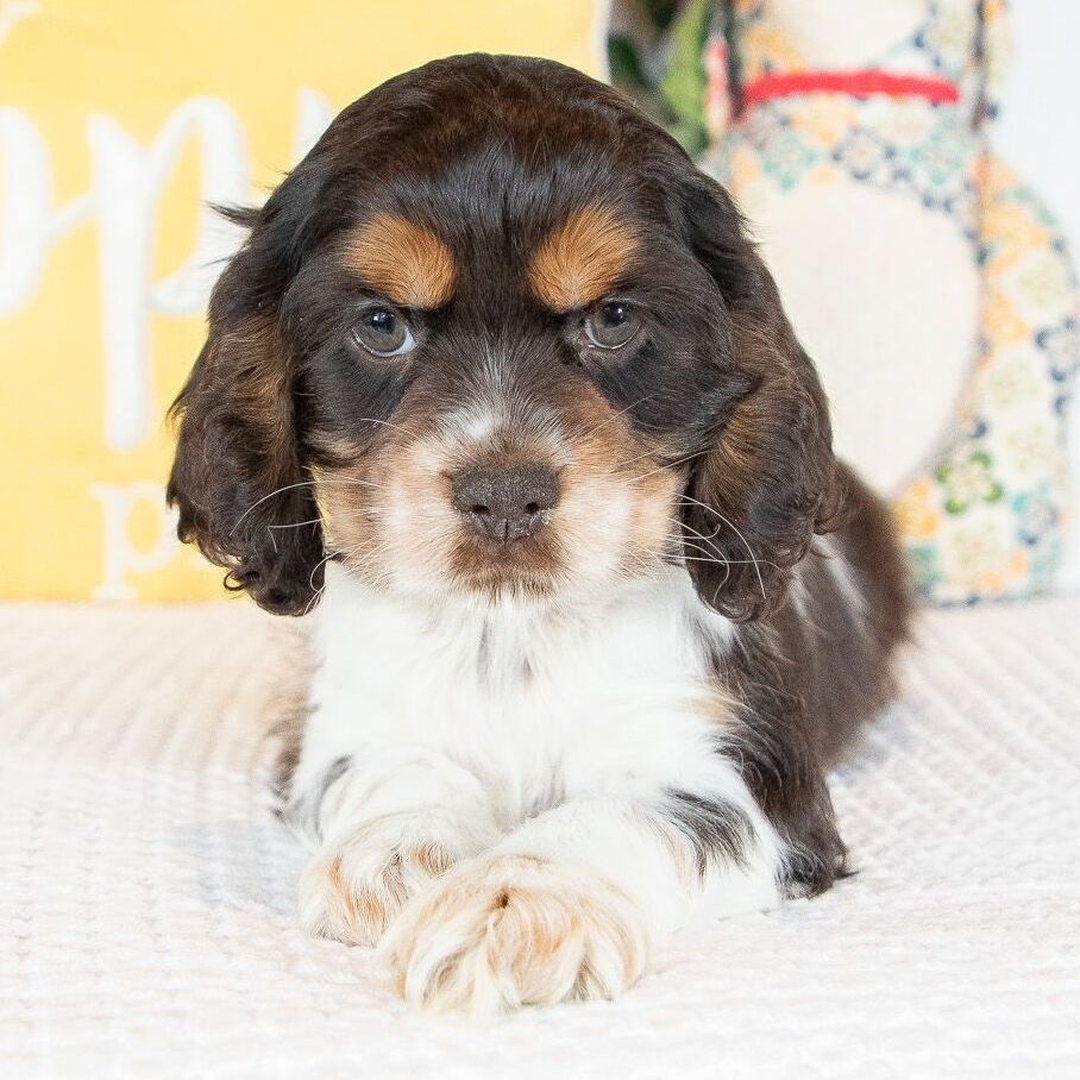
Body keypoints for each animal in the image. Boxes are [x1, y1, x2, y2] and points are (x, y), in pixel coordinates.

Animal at [167, 53, 910, 1015]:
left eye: (614, 319)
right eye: (381, 325)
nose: (505, 495)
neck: (508, 629)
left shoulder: (744, 770)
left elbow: (625, 814)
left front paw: (510, 903)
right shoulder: (345, 720)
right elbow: (392, 767)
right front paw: (395, 856)